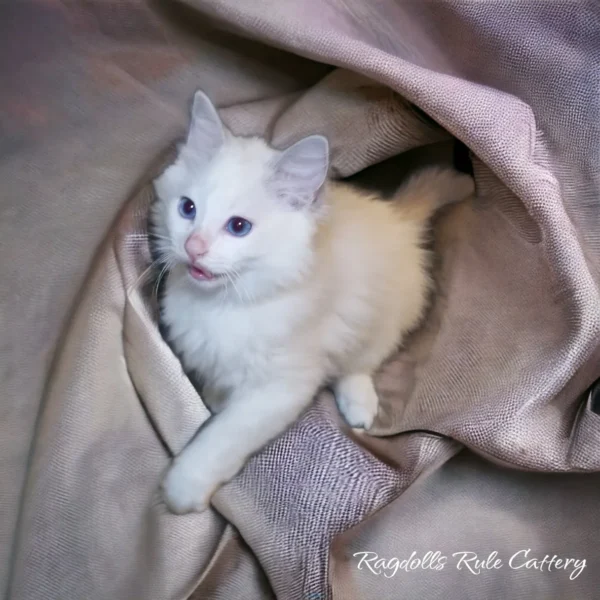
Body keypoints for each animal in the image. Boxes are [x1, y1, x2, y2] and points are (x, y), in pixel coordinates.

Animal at [150, 91, 474, 512]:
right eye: (187, 208)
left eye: (238, 227)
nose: (193, 247)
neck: (229, 304)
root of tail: (396, 217)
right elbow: (219, 384)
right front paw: (218, 396)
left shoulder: (282, 386)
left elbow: (223, 438)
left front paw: (184, 487)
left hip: (378, 320)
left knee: (359, 365)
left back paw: (359, 405)